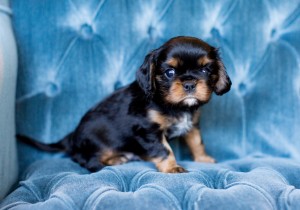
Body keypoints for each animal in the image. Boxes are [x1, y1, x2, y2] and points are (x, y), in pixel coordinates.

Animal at [18, 36, 231, 173]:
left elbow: (197, 142)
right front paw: (172, 167)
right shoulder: (147, 131)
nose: (189, 84)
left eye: (205, 70)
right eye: (170, 72)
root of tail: (71, 137)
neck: (172, 105)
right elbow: (164, 150)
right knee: (83, 160)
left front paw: (203, 158)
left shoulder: (192, 124)